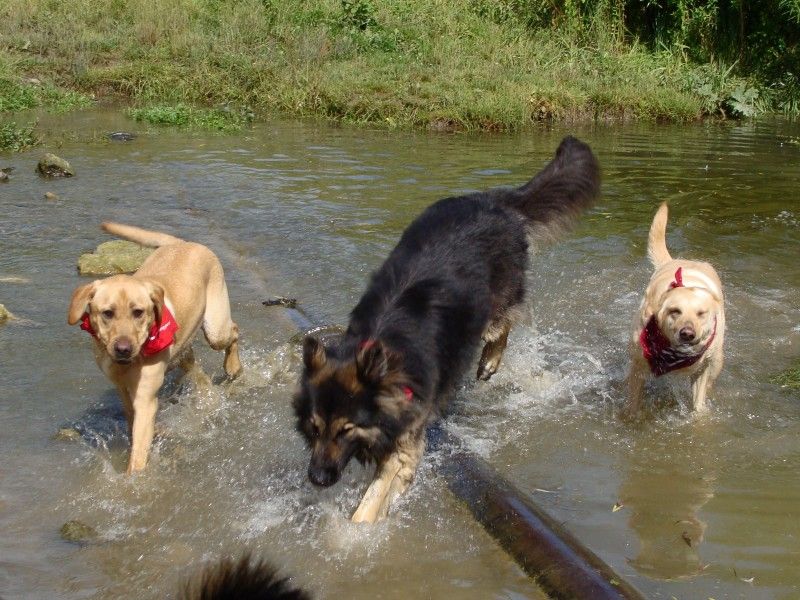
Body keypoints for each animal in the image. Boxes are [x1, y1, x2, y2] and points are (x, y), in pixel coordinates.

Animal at [67, 221, 241, 474]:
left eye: (138, 312)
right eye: (107, 313)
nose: (123, 348)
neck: (128, 363)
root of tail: (183, 243)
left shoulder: (145, 397)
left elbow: (139, 450)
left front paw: (134, 478)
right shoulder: (122, 387)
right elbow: (131, 418)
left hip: (216, 328)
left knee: (234, 331)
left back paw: (233, 367)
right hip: (185, 347)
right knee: (194, 366)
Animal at [294, 136, 600, 520]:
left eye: (346, 429)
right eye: (315, 426)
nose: (317, 478)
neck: (383, 350)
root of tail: (493, 201)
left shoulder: (406, 442)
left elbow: (369, 505)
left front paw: (353, 530)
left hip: (494, 307)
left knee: (505, 325)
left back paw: (490, 362)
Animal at [624, 204, 724, 414]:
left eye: (701, 314)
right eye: (675, 311)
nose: (687, 333)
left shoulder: (702, 370)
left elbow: (698, 407)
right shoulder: (638, 364)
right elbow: (633, 404)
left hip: (717, 361)